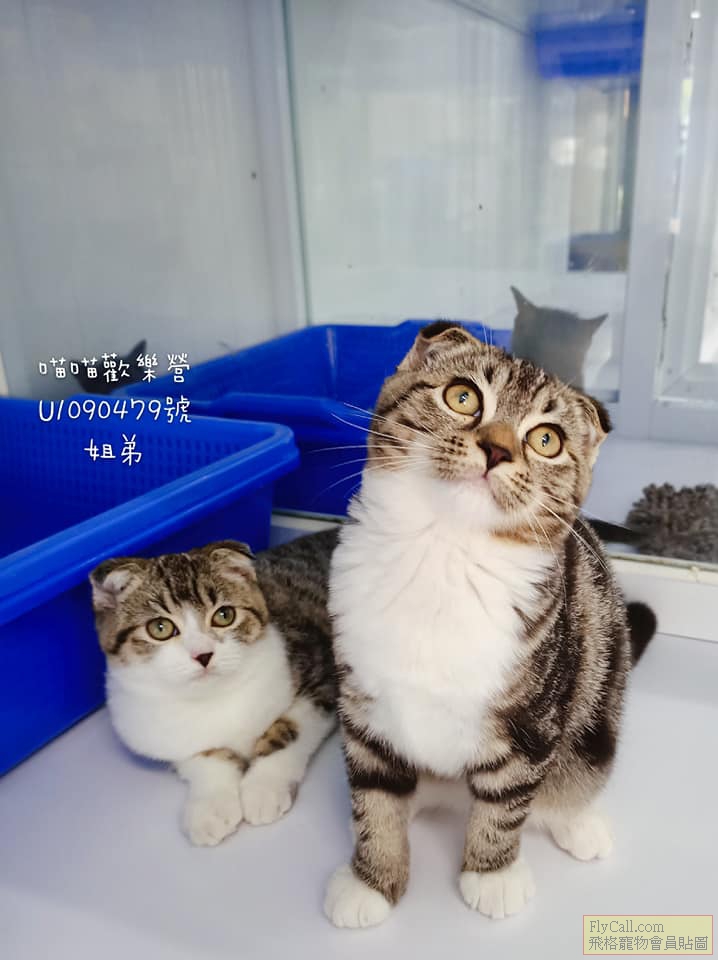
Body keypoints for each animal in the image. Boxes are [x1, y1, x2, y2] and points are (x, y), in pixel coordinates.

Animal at [90, 529, 338, 846]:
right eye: (160, 628)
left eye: (224, 615)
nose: (203, 654)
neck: (212, 696)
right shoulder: (160, 735)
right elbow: (203, 755)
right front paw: (211, 806)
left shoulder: (324, 673)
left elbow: (290, 726)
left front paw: (264, 786)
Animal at [324, 321, 655, 927]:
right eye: (463, 396)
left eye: (546, 440)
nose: (498, 448)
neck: (444, 551)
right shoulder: (363, 707)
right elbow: (374, 796)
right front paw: (371, 879)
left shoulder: (533, 722)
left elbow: (505, 804)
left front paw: (492, 874)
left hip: (596, 719)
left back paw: (579, 823)